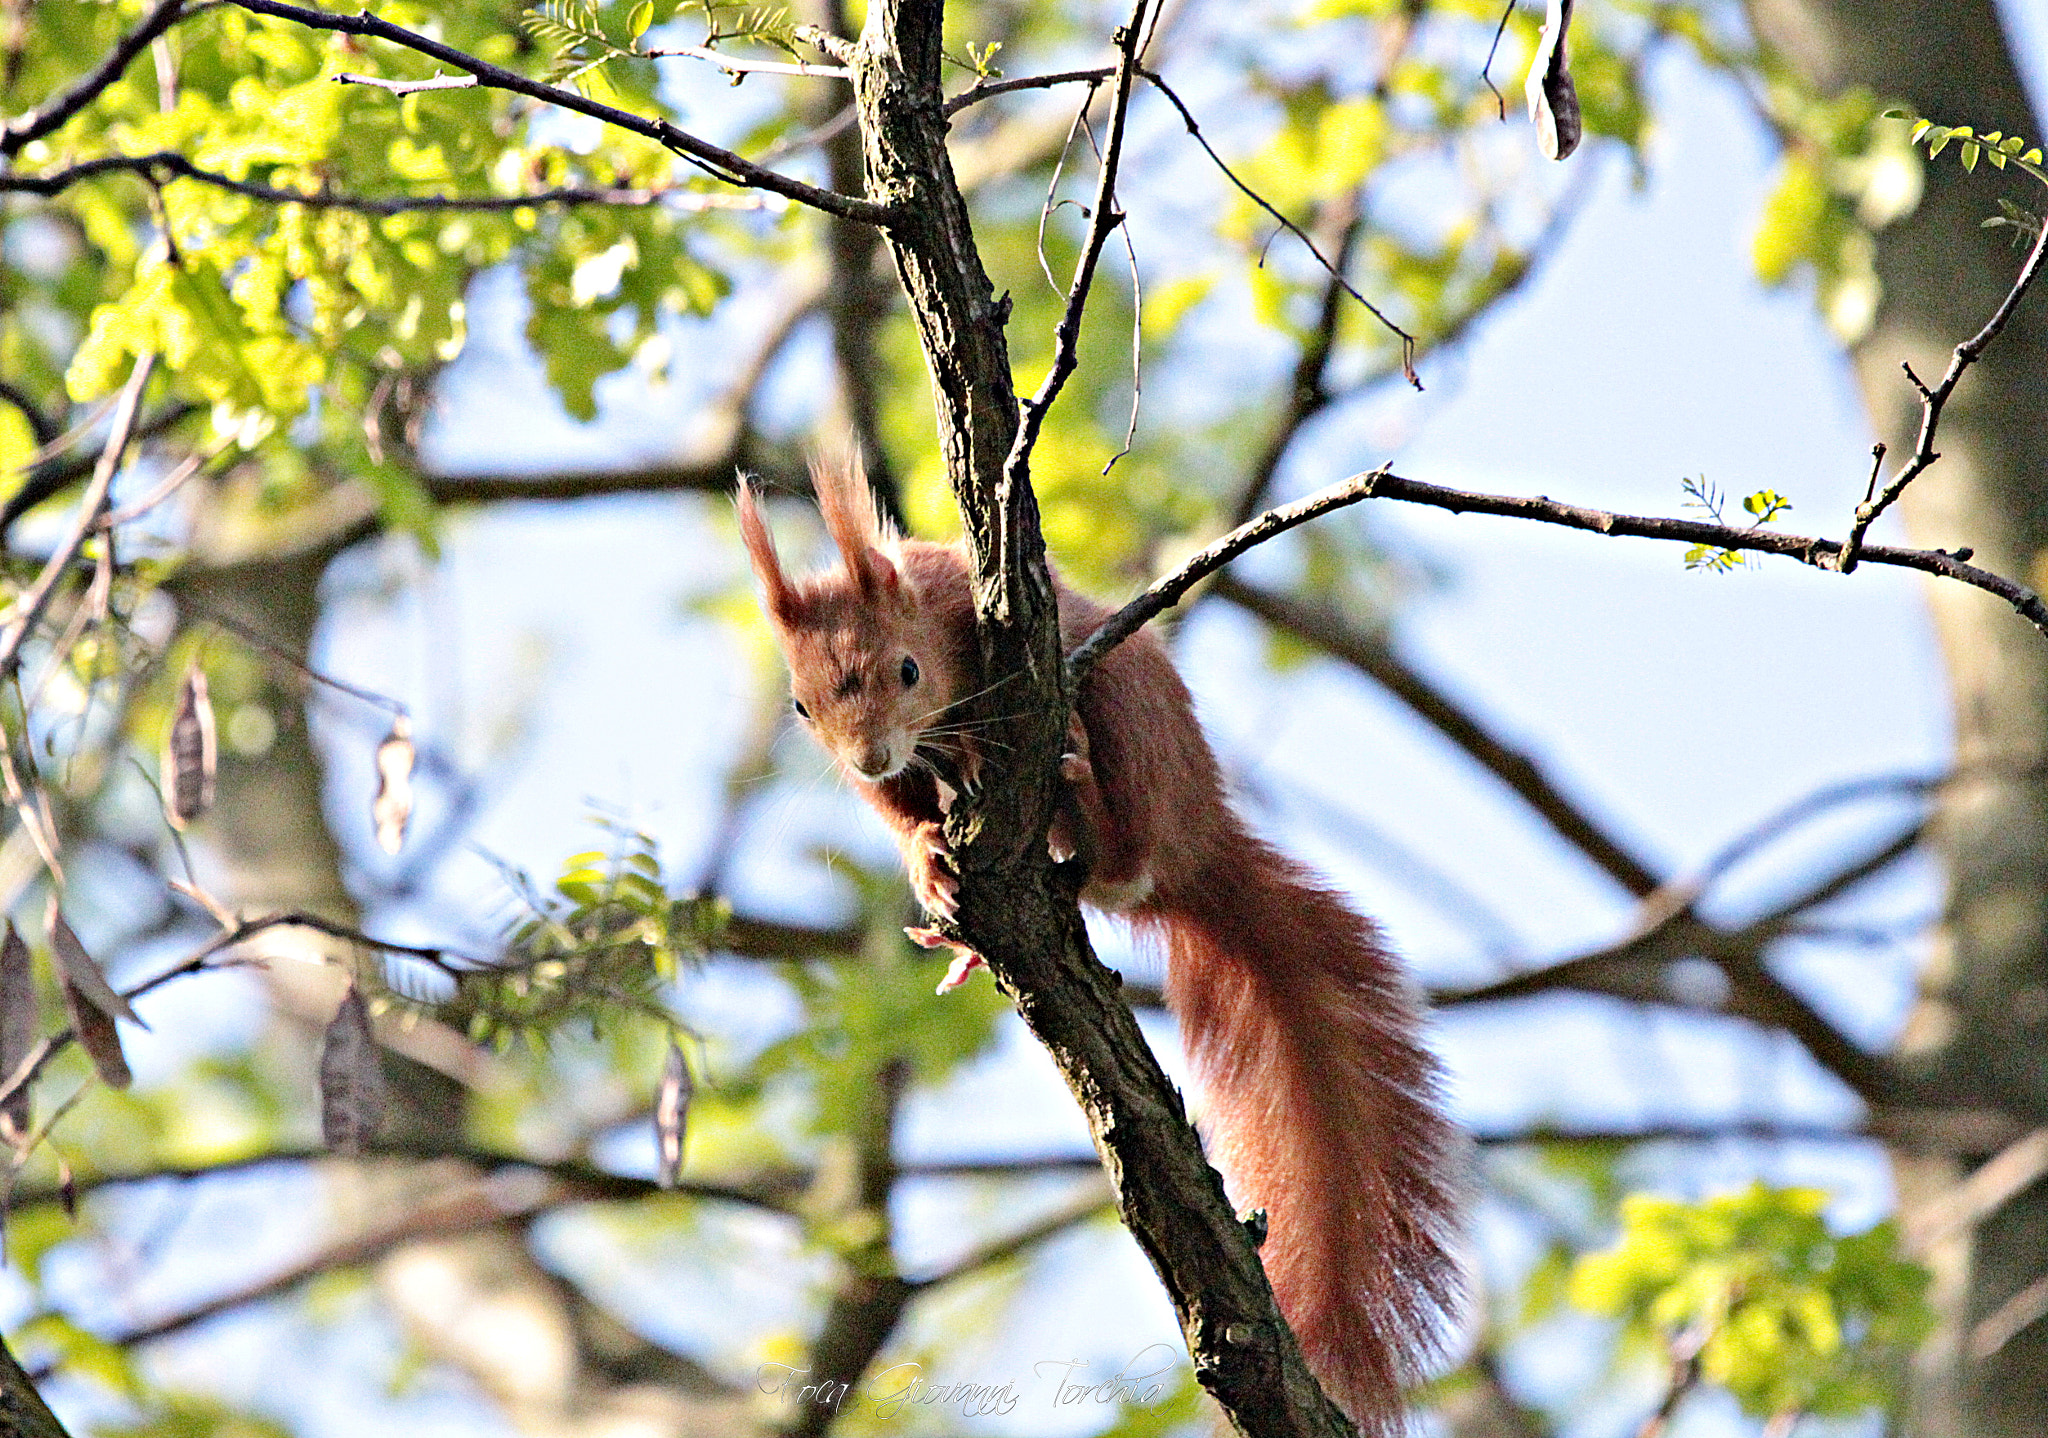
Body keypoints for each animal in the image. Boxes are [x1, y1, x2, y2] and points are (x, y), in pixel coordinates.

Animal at [736, 460, 1462, 1434]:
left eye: (906, 669)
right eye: (801, 705)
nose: (872, 757)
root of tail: (1200, 837)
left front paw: (975, 764)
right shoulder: (888, 786)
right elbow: (905, 819)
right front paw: (928, 860)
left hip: (1131, 709)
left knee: (1125, 856)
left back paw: (1084, 788)